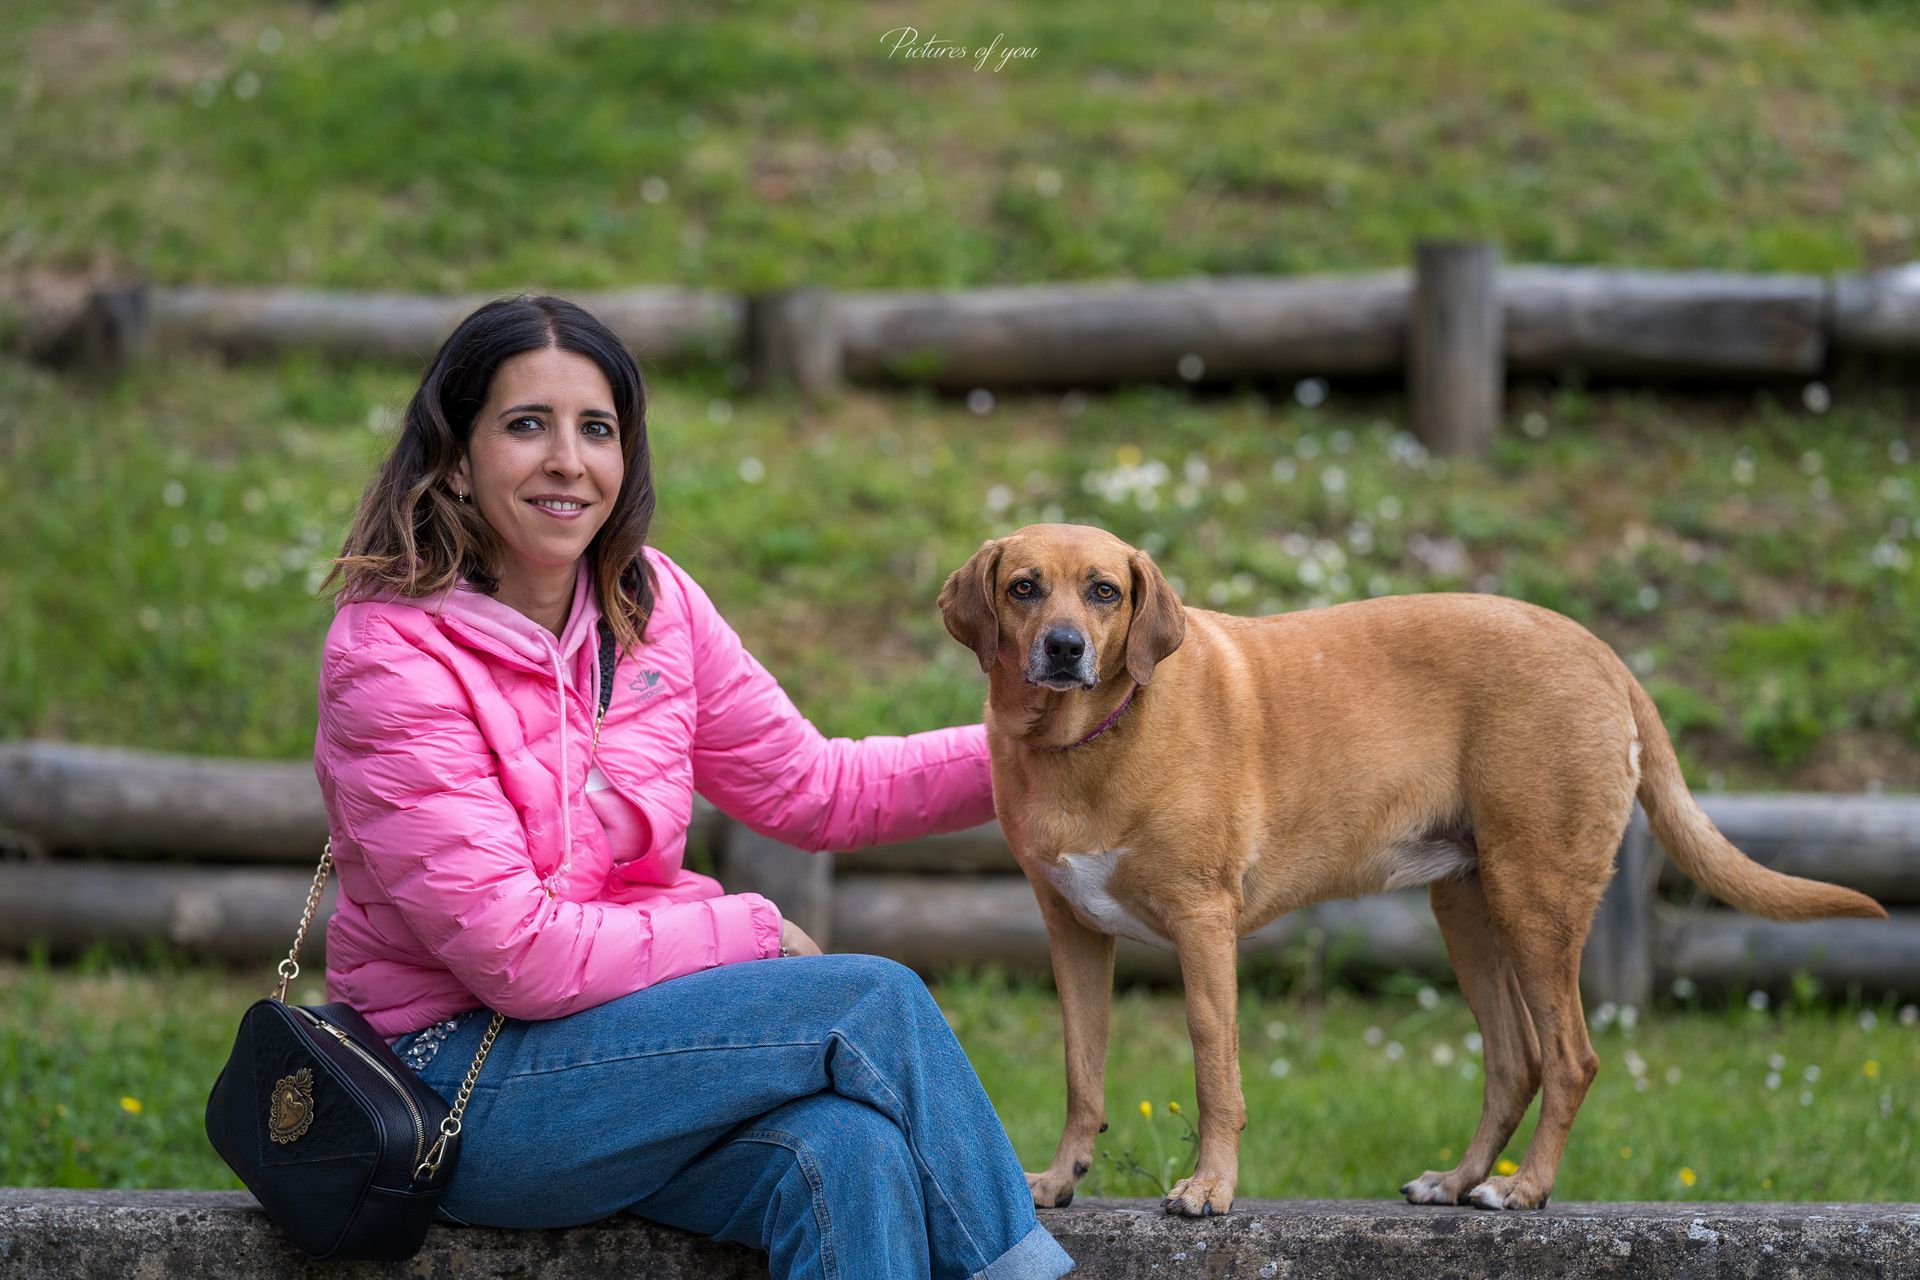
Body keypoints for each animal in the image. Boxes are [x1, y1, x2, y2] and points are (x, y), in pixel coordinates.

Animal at [936, 521, 1881, 1220]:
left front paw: (1209, 1187)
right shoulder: (1073, 934)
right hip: (1466, 909)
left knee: (1571, 1058)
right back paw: (1458, 1181)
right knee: (1516, 1062)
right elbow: (1082, 1071)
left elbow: (1214, 1072)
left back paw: (1524, 1189)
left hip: (1535, 899)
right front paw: (1061, 1178)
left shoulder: (1203, 927)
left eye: (1105, 590)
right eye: (1024, 587)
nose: (1064, 649)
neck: (1089, 741)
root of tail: (1595, 646)